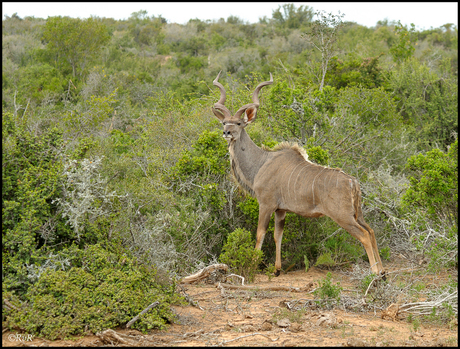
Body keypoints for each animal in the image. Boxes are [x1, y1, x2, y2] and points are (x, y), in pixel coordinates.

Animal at [211, 71, 384, 278]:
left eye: (238, 123)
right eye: (223, 122)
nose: (226, 132)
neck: (262, 162)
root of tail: (353, 182)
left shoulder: (266, 204)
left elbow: (260, 234)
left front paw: (252, 267)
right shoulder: (281, 210)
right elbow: (278, 236)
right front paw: (277, 270)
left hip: (343, 217)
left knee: (364, 235)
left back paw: (375, 273)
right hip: (357, 214)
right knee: (371, 231)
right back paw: (383, 271)